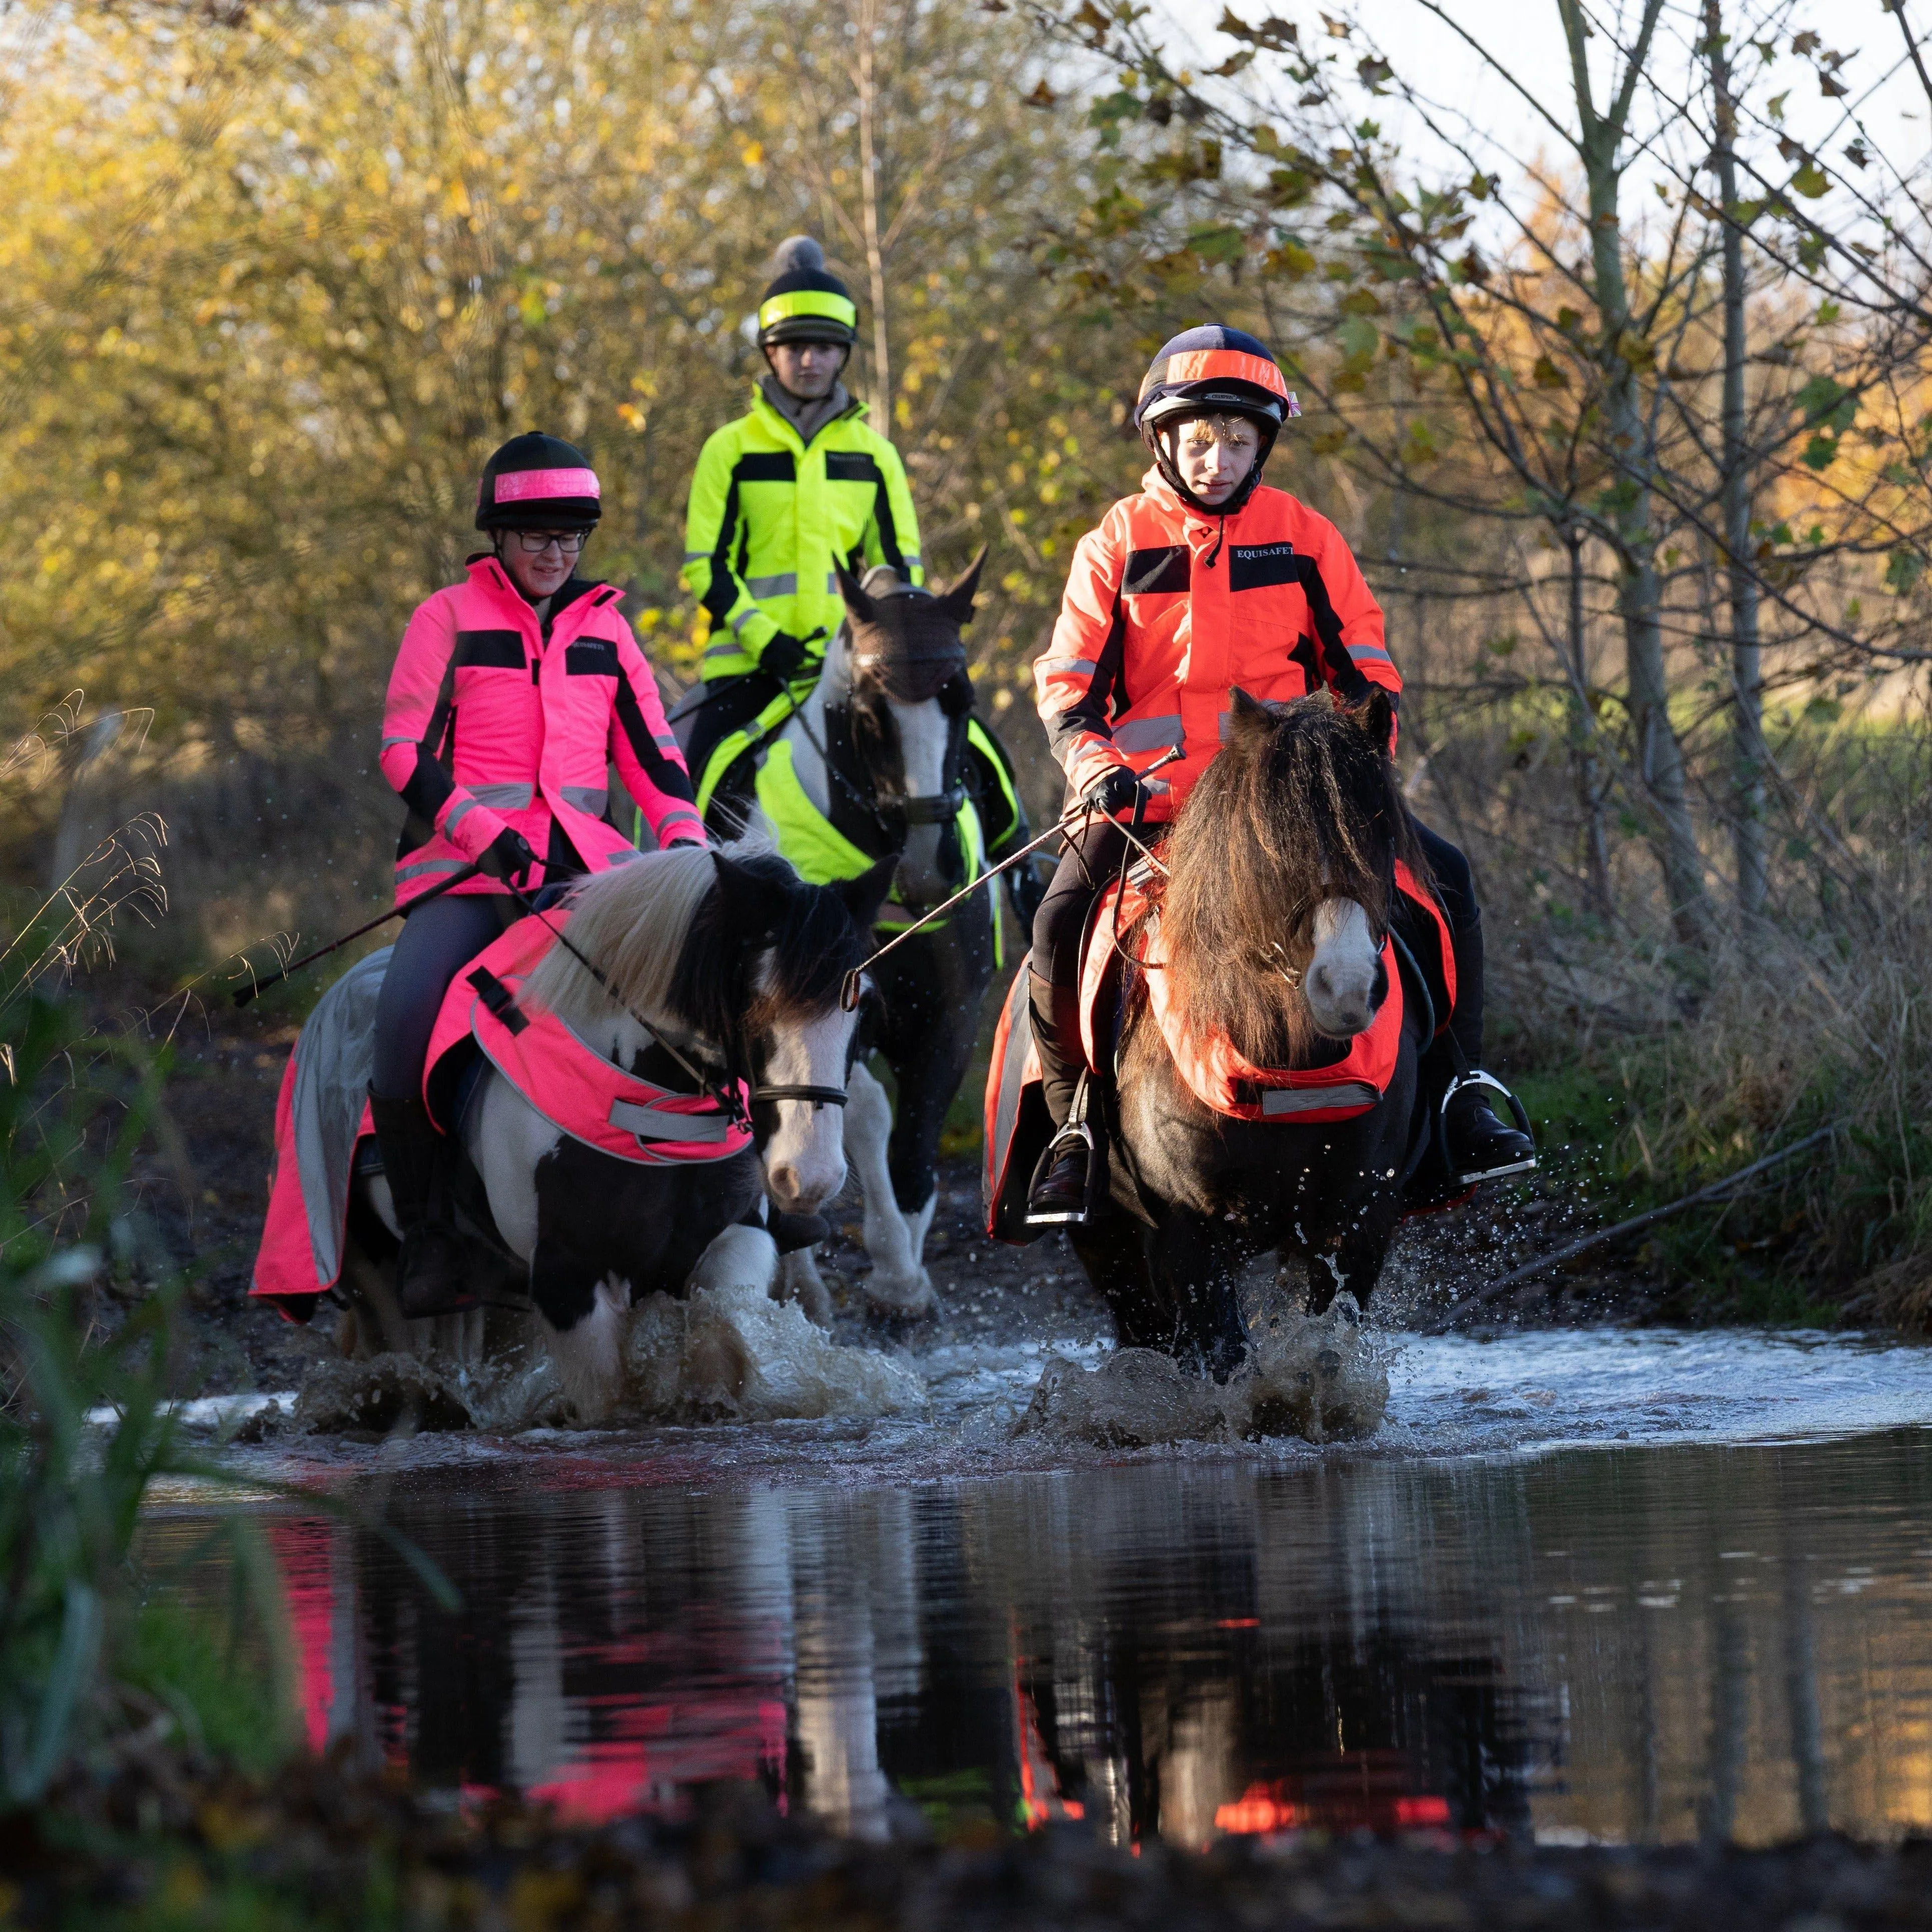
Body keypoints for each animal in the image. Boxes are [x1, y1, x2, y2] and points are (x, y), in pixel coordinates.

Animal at [1082, 688, 1430, 1383]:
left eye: (1382, 834)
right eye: (1272, 844)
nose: (1346, 988)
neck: (1286, 1071)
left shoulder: (1357, 1224)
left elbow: (1325, 1352)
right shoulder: (1186, 1235)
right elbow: (1225, 1360)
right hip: (1111, 1253)